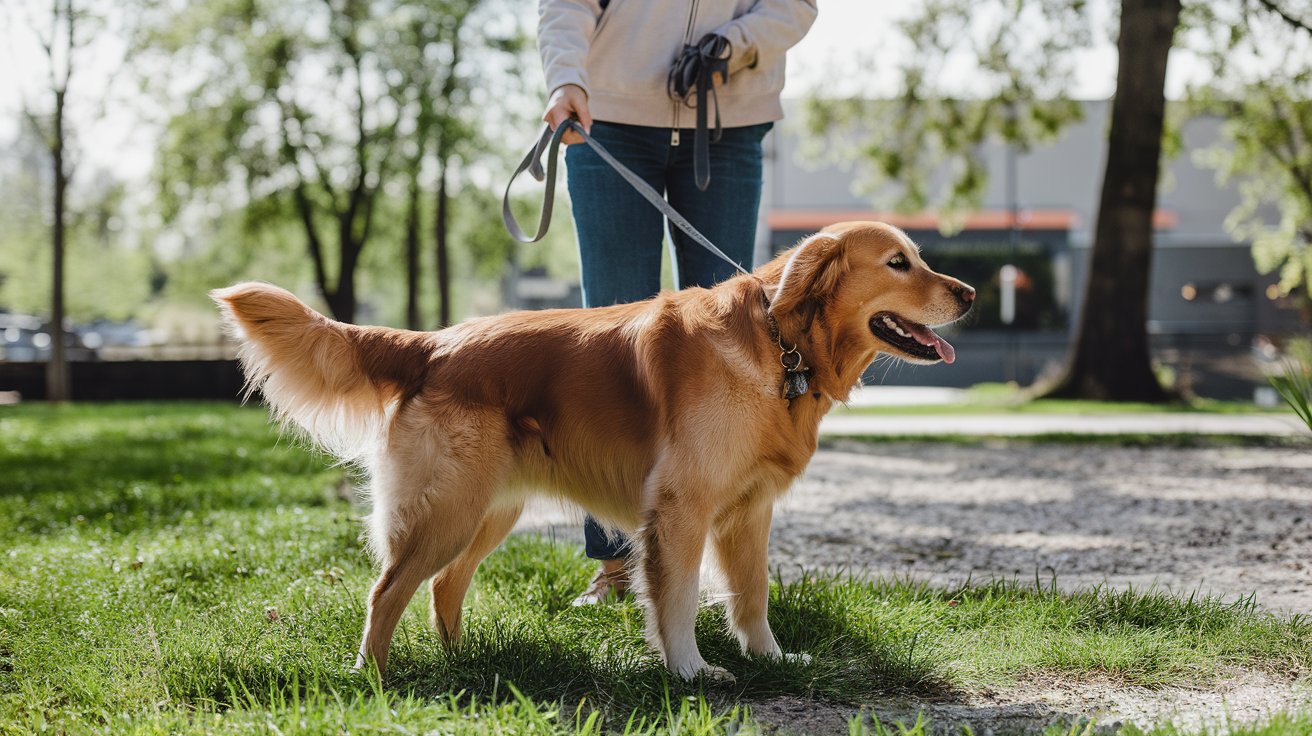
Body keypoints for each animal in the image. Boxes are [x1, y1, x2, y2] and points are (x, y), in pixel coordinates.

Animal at [212, 220, 976, 682]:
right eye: (899, 262)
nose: (970, 292)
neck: (779, 342)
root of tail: (431, 343)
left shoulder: (749, 511)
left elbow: (752, 594)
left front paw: (774, 658)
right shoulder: (681, 508)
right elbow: (678, 598)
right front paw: (691, 672)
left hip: (487, 512)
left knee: (441, 586)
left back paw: (461, 660)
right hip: (446, 510)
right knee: (386, 589)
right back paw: (374, 675)